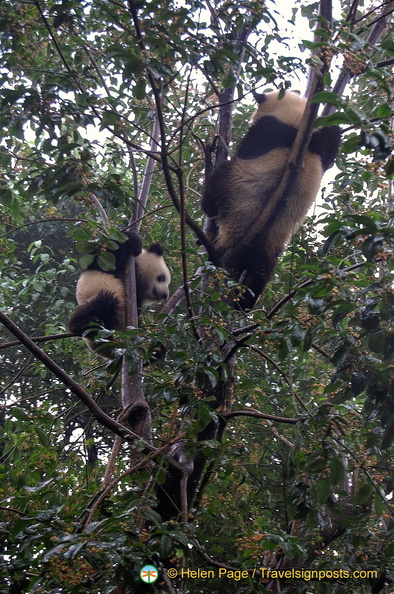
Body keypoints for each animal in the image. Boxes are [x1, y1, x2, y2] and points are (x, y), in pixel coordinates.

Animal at [202, 91, 340, 310]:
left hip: (235, 191)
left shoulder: (269, 129)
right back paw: (246, 301)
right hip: (273, 238)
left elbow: (248, 149)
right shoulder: (321, 138)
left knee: (216, 188)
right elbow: (332, 145)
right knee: (262, 272)